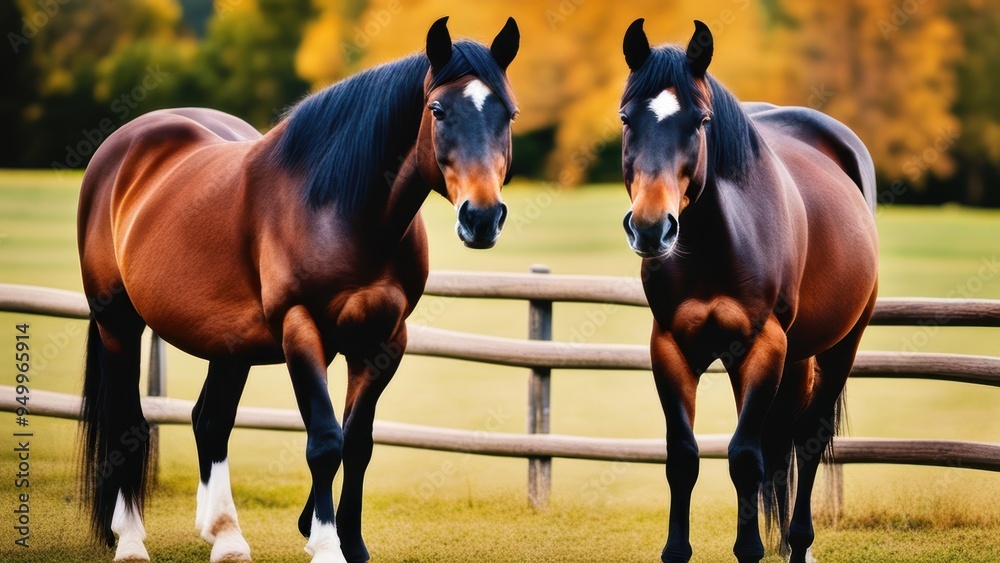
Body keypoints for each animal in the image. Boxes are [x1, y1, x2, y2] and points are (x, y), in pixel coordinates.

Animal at [77, 16, 519, 563]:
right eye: (437, 110)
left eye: (509, 113)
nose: (482, 217)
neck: (341, 207)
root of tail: (123, 148)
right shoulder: (300, 327)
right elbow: (325, 440)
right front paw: (327, 544)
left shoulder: (384, 341)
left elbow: (357, 442)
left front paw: (348, 540)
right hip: (118, 323)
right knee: (127, 424)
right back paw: (133, 540)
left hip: (230, 345)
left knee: (210, 421)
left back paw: (225, 536)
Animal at [617, 20, 879, 563]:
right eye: (627, 118)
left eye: (700, 121)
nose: (652, 227)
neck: (718, 245)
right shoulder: (670, 347)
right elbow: (684, 456)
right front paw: (677, 550)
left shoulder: (762, 346)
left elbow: (743, 457)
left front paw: (750, 548)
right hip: (794, 357)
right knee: (779, 441)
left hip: (841, 345)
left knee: (807, 439)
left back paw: (798, 542)